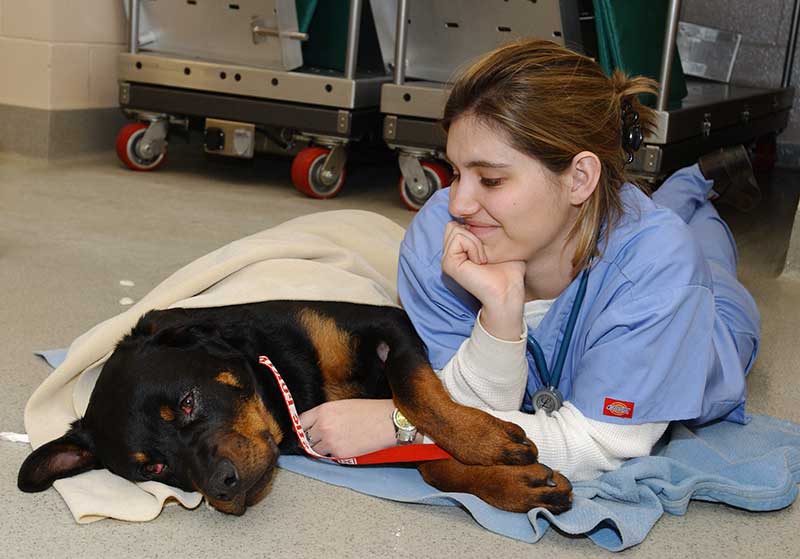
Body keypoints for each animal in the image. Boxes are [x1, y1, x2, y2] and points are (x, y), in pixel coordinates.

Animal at [15, 302, 572, 516]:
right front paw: (514, 482)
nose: (221, 486)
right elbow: (428, 463)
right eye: (153, 467)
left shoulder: (389, 325)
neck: (286, 381)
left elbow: (417, 395)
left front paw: (487, 441)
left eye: (188, 401)